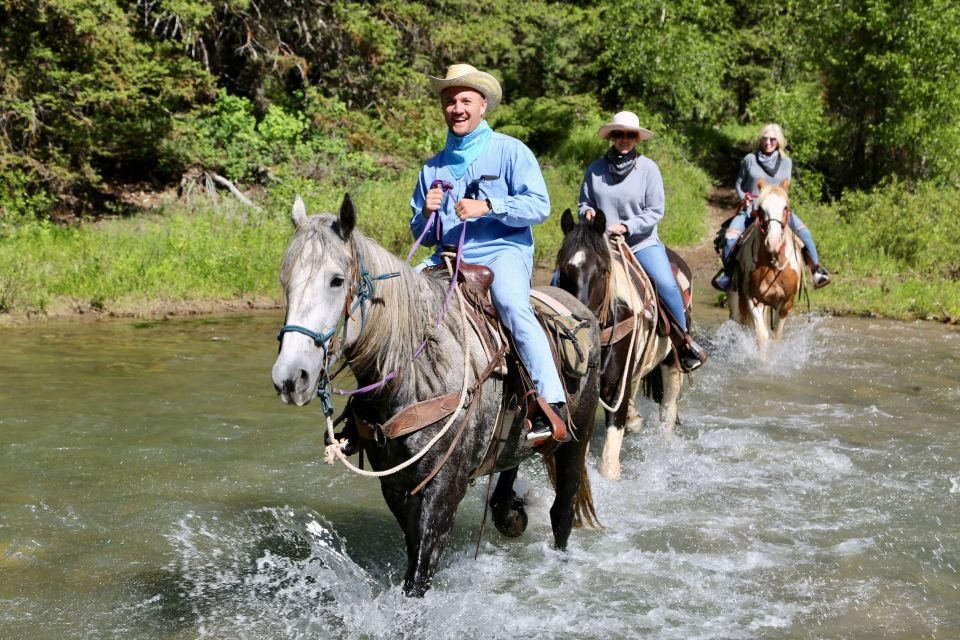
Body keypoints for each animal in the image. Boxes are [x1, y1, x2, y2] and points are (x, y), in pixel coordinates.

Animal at [270, 196, 600, 600]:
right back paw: (509, 511)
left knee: (562, 512)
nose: (290, 377)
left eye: (336, 280)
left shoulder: (443, 488)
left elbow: (420, 574)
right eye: (286, 282)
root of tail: (580, 310)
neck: (417, 372)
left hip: (576, 440)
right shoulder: (397, 487)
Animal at [552, 210, 688, 480]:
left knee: (668, 407)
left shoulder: (615, 388)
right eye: (563, 269)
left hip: (672, 360)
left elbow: (609, 465)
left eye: (604, 269)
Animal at [728, 178, 804, 352]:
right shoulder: (753, 298)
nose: (773, 242)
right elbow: (762, 336)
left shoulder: (786, 303)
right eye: (761, 208)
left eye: (785, 207)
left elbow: (776, 337)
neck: (772, 263)